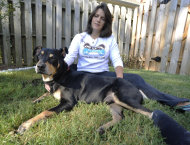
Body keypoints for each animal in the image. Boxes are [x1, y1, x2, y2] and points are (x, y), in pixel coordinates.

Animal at [16, 46, 153, 135]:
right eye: (39, 56)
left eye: (52, 57)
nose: (39, 66)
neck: (60, 76)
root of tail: (137, 89)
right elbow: (43, 95)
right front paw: (31, 102)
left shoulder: (68, 102)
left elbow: (45, 111)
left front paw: (25, 125)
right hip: (111, 102)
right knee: (120, 117)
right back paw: (102, 128)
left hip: (124, 98)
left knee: (150, 113)